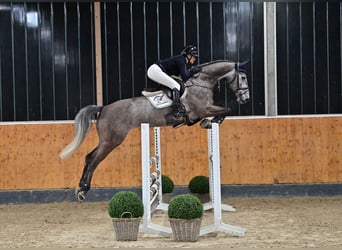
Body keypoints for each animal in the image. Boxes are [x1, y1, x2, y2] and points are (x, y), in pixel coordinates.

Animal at [60, 59, 250, 201]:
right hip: (111, 141)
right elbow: (226, 109)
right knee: (93, 159)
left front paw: (207, 123)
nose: (245, 99)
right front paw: (212, 121)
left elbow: (221, 111)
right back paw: (83, 190)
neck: (202, 82)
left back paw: (81, 189)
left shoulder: (202, 111)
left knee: (89, 157)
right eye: (242, 77)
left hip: (108, 141)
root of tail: (104, 108)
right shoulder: (203, 109)